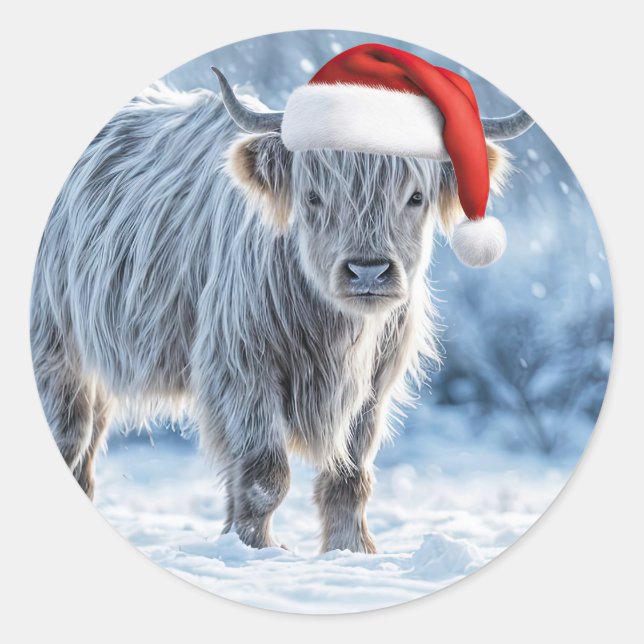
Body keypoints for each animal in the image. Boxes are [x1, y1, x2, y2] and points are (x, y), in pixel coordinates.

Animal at [30, 60, 532, 553]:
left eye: (415, 196)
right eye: (313, 196)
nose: (368, 272)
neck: (334, 329)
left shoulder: (373, 382)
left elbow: (349, 477)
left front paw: (350, 552)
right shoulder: (241, 366)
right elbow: (264, 476)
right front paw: (257, 549)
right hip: (54, 346)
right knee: (70, 434)